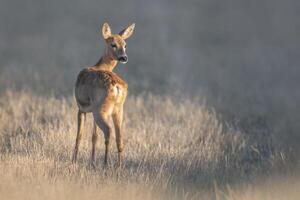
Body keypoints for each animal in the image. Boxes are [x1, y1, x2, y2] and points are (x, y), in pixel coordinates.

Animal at [72, 22, 135, 168]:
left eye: (125, 45)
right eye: (113, 44)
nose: (124, 57)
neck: (100, 66)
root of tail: (116, 87)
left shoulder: (81, 108)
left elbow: (79, 135)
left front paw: (74, 162)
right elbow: (94, 136)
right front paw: (92, 162)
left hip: (100, 108)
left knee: (108, 131)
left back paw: (105, 163)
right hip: (118, 109)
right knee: (119, 137)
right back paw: (119, 166)